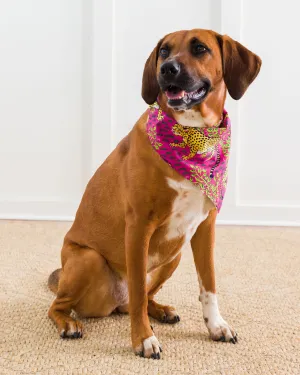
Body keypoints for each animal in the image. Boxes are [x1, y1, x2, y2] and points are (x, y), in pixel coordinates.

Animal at [47, 28, 260, 358]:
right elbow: (137, 292)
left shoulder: (205, 228)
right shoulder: (138, 227)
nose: (167, 69)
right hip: (88, 259)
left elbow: (209, 284)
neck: (193, 136)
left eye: (200, 48)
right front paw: (143, 339)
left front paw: (216, 326)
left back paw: (160, 310)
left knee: (142, 298)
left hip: (174, 255)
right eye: (164, 51)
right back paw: (68, 323)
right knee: (63, 305)